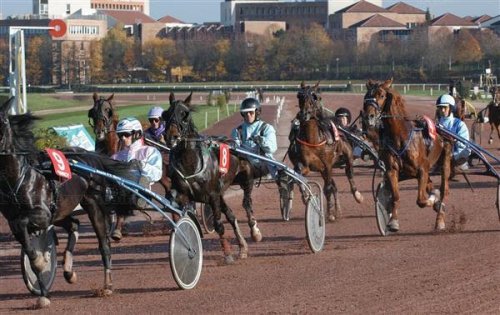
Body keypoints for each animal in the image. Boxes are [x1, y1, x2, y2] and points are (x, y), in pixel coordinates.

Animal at [0, 97, 135, 308]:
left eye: (4, 121)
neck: (18, 178)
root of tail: (88, 156)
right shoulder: (16, 221)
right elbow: (28, 247)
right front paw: (44, 292)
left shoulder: (42, 214)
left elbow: (25, 227)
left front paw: (42, 263)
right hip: (61, 211)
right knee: (74, 224)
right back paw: (69, 272)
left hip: (92, 205)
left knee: (104, 245)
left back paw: (107, 286)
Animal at [290, 82, 364, 223]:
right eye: (299, 96)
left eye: (315, 97)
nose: (303, 115)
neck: (314, 139)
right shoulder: (305, 165)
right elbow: (298, 175)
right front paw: (305, 195)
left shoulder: (328, 166)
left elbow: (328, 189)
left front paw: (330, 213)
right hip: (321, 170)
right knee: (332, 184)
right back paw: (338, 209)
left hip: (347, 155)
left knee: (349, 172)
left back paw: (357, 195)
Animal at [362, 78, 452, 232]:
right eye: (367, 95)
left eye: (381, 95)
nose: (369, 117)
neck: (399, 137)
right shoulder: (392, 170)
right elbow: (395, 196)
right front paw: (393, 222)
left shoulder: (422, 169)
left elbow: (421, 201)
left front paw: (432, 201)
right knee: (431, 185)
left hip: (445, 160)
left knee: (444, 189)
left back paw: (439, 218)